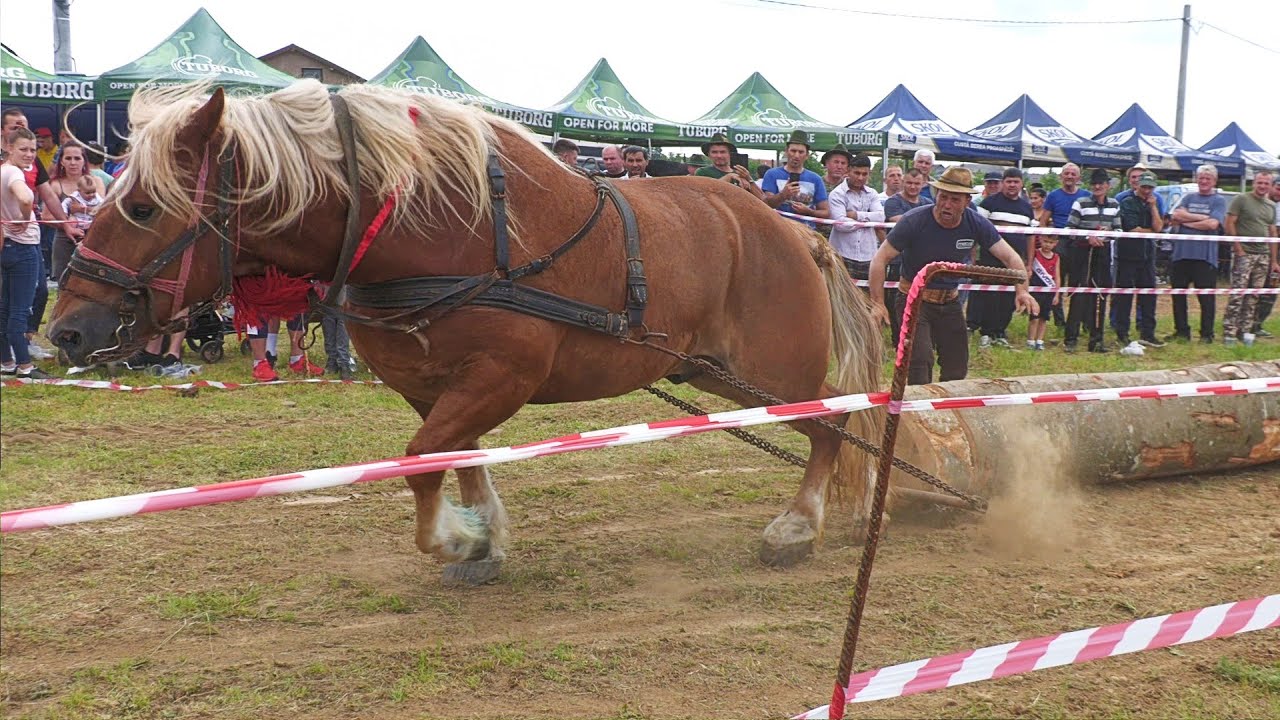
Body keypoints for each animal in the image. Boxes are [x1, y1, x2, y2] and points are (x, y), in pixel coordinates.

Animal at [47, 80, 884, 581]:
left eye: (144, 207)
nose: (68, 332)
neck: (436, 231)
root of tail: (792, 231)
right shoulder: (435, 385)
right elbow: (457, 455)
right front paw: (482, 537)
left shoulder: (500, 377)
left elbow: (421, 463)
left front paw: (453, 536)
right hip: (715, 371)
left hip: (774, 375)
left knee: (834, 426)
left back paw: (795, 528)